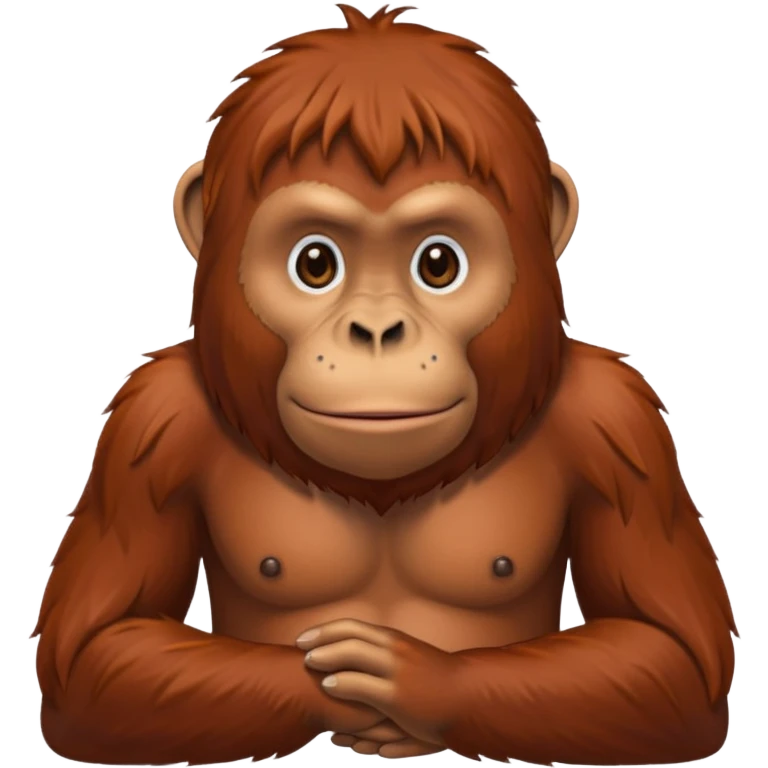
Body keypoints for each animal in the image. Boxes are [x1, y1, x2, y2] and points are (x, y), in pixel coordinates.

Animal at [32, 4, 737, 766]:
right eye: (315, 263)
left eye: (439, 264)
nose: (375, 330)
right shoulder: (152, 425)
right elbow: (92, 656)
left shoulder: (617, 425)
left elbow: (675, 655)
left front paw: (418, 681)